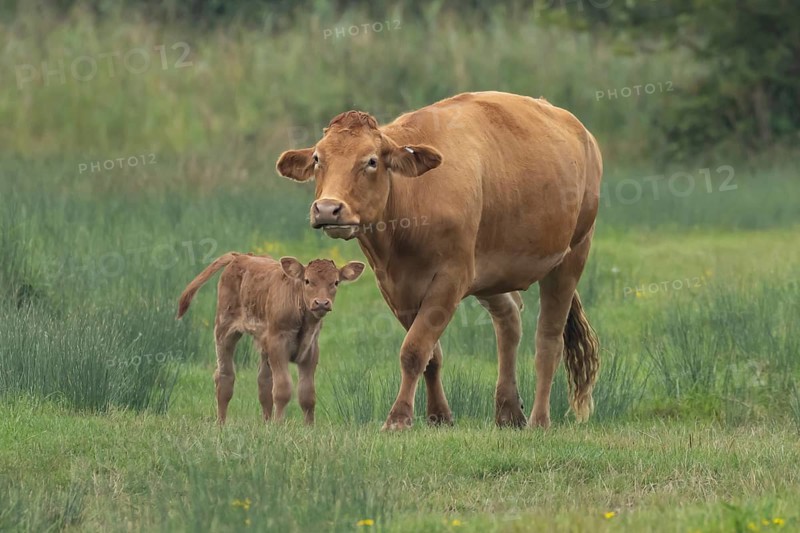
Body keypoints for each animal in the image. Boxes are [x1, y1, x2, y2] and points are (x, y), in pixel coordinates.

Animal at [177, 252, 365, 424]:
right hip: (225, 328)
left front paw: (309, 428)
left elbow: (307, 394)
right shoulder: (278, 344)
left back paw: (266, 423)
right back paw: (221, 424)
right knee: (225, 377)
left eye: (335, 282)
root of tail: (240, 255)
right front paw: (279, 426)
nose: (321, 303)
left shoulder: (311, 350)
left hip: (263, 342)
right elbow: (282, 389)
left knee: (264, 382)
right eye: (307, 281)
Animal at [276, 91, 602, 430]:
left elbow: (414, 349)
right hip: (491, 270)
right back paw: (508, 410)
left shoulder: (451, 278)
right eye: (317, 159)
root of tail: (582, 132)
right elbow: (430, 354)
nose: (328, 208)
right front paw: (439, 415)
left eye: (371, 161)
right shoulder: (395, 286)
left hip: (571, 255)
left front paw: (398, 418)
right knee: (509, 321)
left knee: (548, 341)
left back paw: (539, 419)